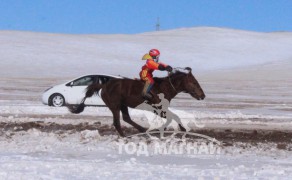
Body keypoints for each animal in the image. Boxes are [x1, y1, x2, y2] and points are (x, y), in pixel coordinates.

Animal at [68, 67, 205, 136]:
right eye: (194, 82)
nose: (203, 95)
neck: (164, 87)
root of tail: (103, 85)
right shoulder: (158, 107)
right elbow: (174, 116)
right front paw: (181, 129)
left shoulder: (159, 109)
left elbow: (172, 117)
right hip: (115, 106)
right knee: (117, 122)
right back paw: (125, 135)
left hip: (123, 105)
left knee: (126, 118)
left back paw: (142, 130)